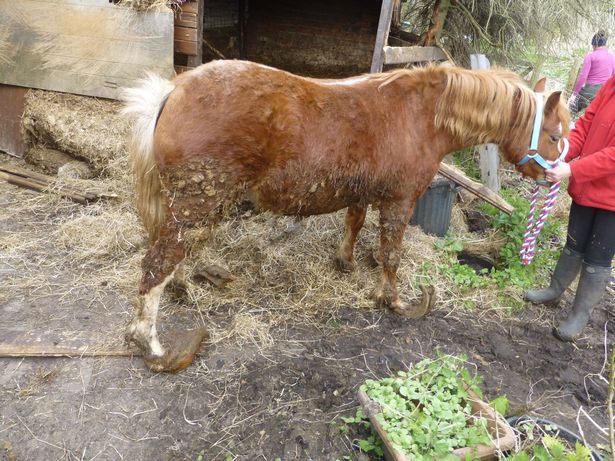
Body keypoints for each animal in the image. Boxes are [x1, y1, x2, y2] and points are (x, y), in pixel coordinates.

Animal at [122, 60, 572, 370]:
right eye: (554, 135)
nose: (558, 179)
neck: (422, 115)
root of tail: (172, 91)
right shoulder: (399, 200)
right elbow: (391, 253)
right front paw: (395, 301)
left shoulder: (363, 193)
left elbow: (353, 225)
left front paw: (347, 263)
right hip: (196, 204)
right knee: (157, 264)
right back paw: (151, 345)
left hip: (191, 208)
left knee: (173, 256)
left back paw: (187, 286)